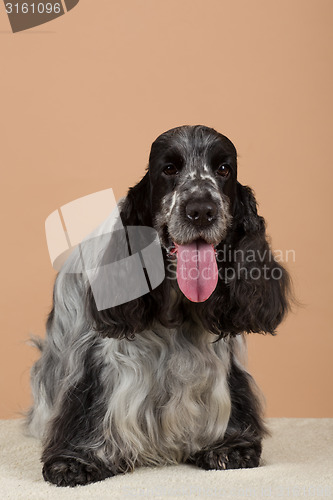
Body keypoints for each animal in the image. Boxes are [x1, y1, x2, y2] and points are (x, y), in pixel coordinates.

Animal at [26, 124, 288, 484]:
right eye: (169, 169)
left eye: (224, 169)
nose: (201, 210)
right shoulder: (101, 363)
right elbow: (91, 407)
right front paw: (75, 460)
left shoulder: (223, 368)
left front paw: (229, 446)